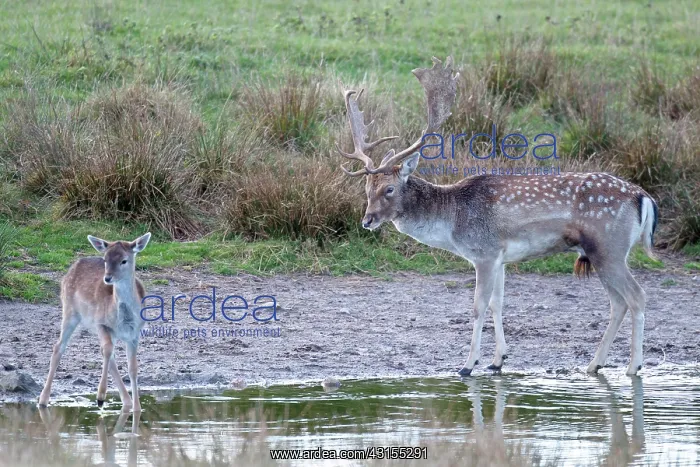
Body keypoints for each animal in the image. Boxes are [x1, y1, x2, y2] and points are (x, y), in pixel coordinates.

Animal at [39, 233, 151, 412]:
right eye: (105, 259)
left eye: (124, 260)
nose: (108, 278)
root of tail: (72, 268)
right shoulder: (101, 323)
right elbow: (108, 350)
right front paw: (100, 396)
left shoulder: (135, 334)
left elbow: (133, 368)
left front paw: (137, 408)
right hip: (70, 311)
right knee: (59, 347)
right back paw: (42, 400)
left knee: (108, 355)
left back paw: (126, 402)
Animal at [336, 56, 658, 377]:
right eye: (366, 188)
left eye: (389, 189)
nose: (367, 220)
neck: (452, 220)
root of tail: (643, 197)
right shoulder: (500, 258)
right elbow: (497, 304)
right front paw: (497, 360)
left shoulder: (484, 252)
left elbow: (478, 306)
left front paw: (467, 365)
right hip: (601, 252)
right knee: (618, 302)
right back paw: (595, 364)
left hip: (609, 247)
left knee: (636, 296)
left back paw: (633, 367)